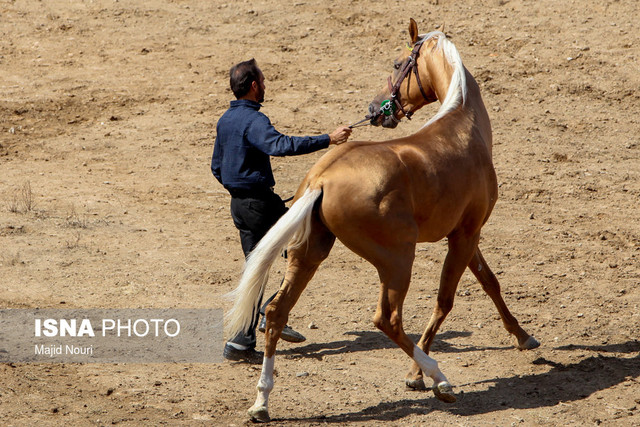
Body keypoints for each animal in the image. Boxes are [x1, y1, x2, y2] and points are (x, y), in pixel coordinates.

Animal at [225, 18, 540, 422]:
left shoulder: (465, 234)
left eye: (395, 64)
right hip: (397, 260)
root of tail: (322, 177)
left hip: (309, 254)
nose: (375, 107)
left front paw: (523, 336)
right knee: (387, 319)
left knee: (276, 312)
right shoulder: (466, 234)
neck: (463, 129)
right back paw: (441, 380)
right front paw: (417, 376)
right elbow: (446, 301)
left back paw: (262, 401)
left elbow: (490, 283)